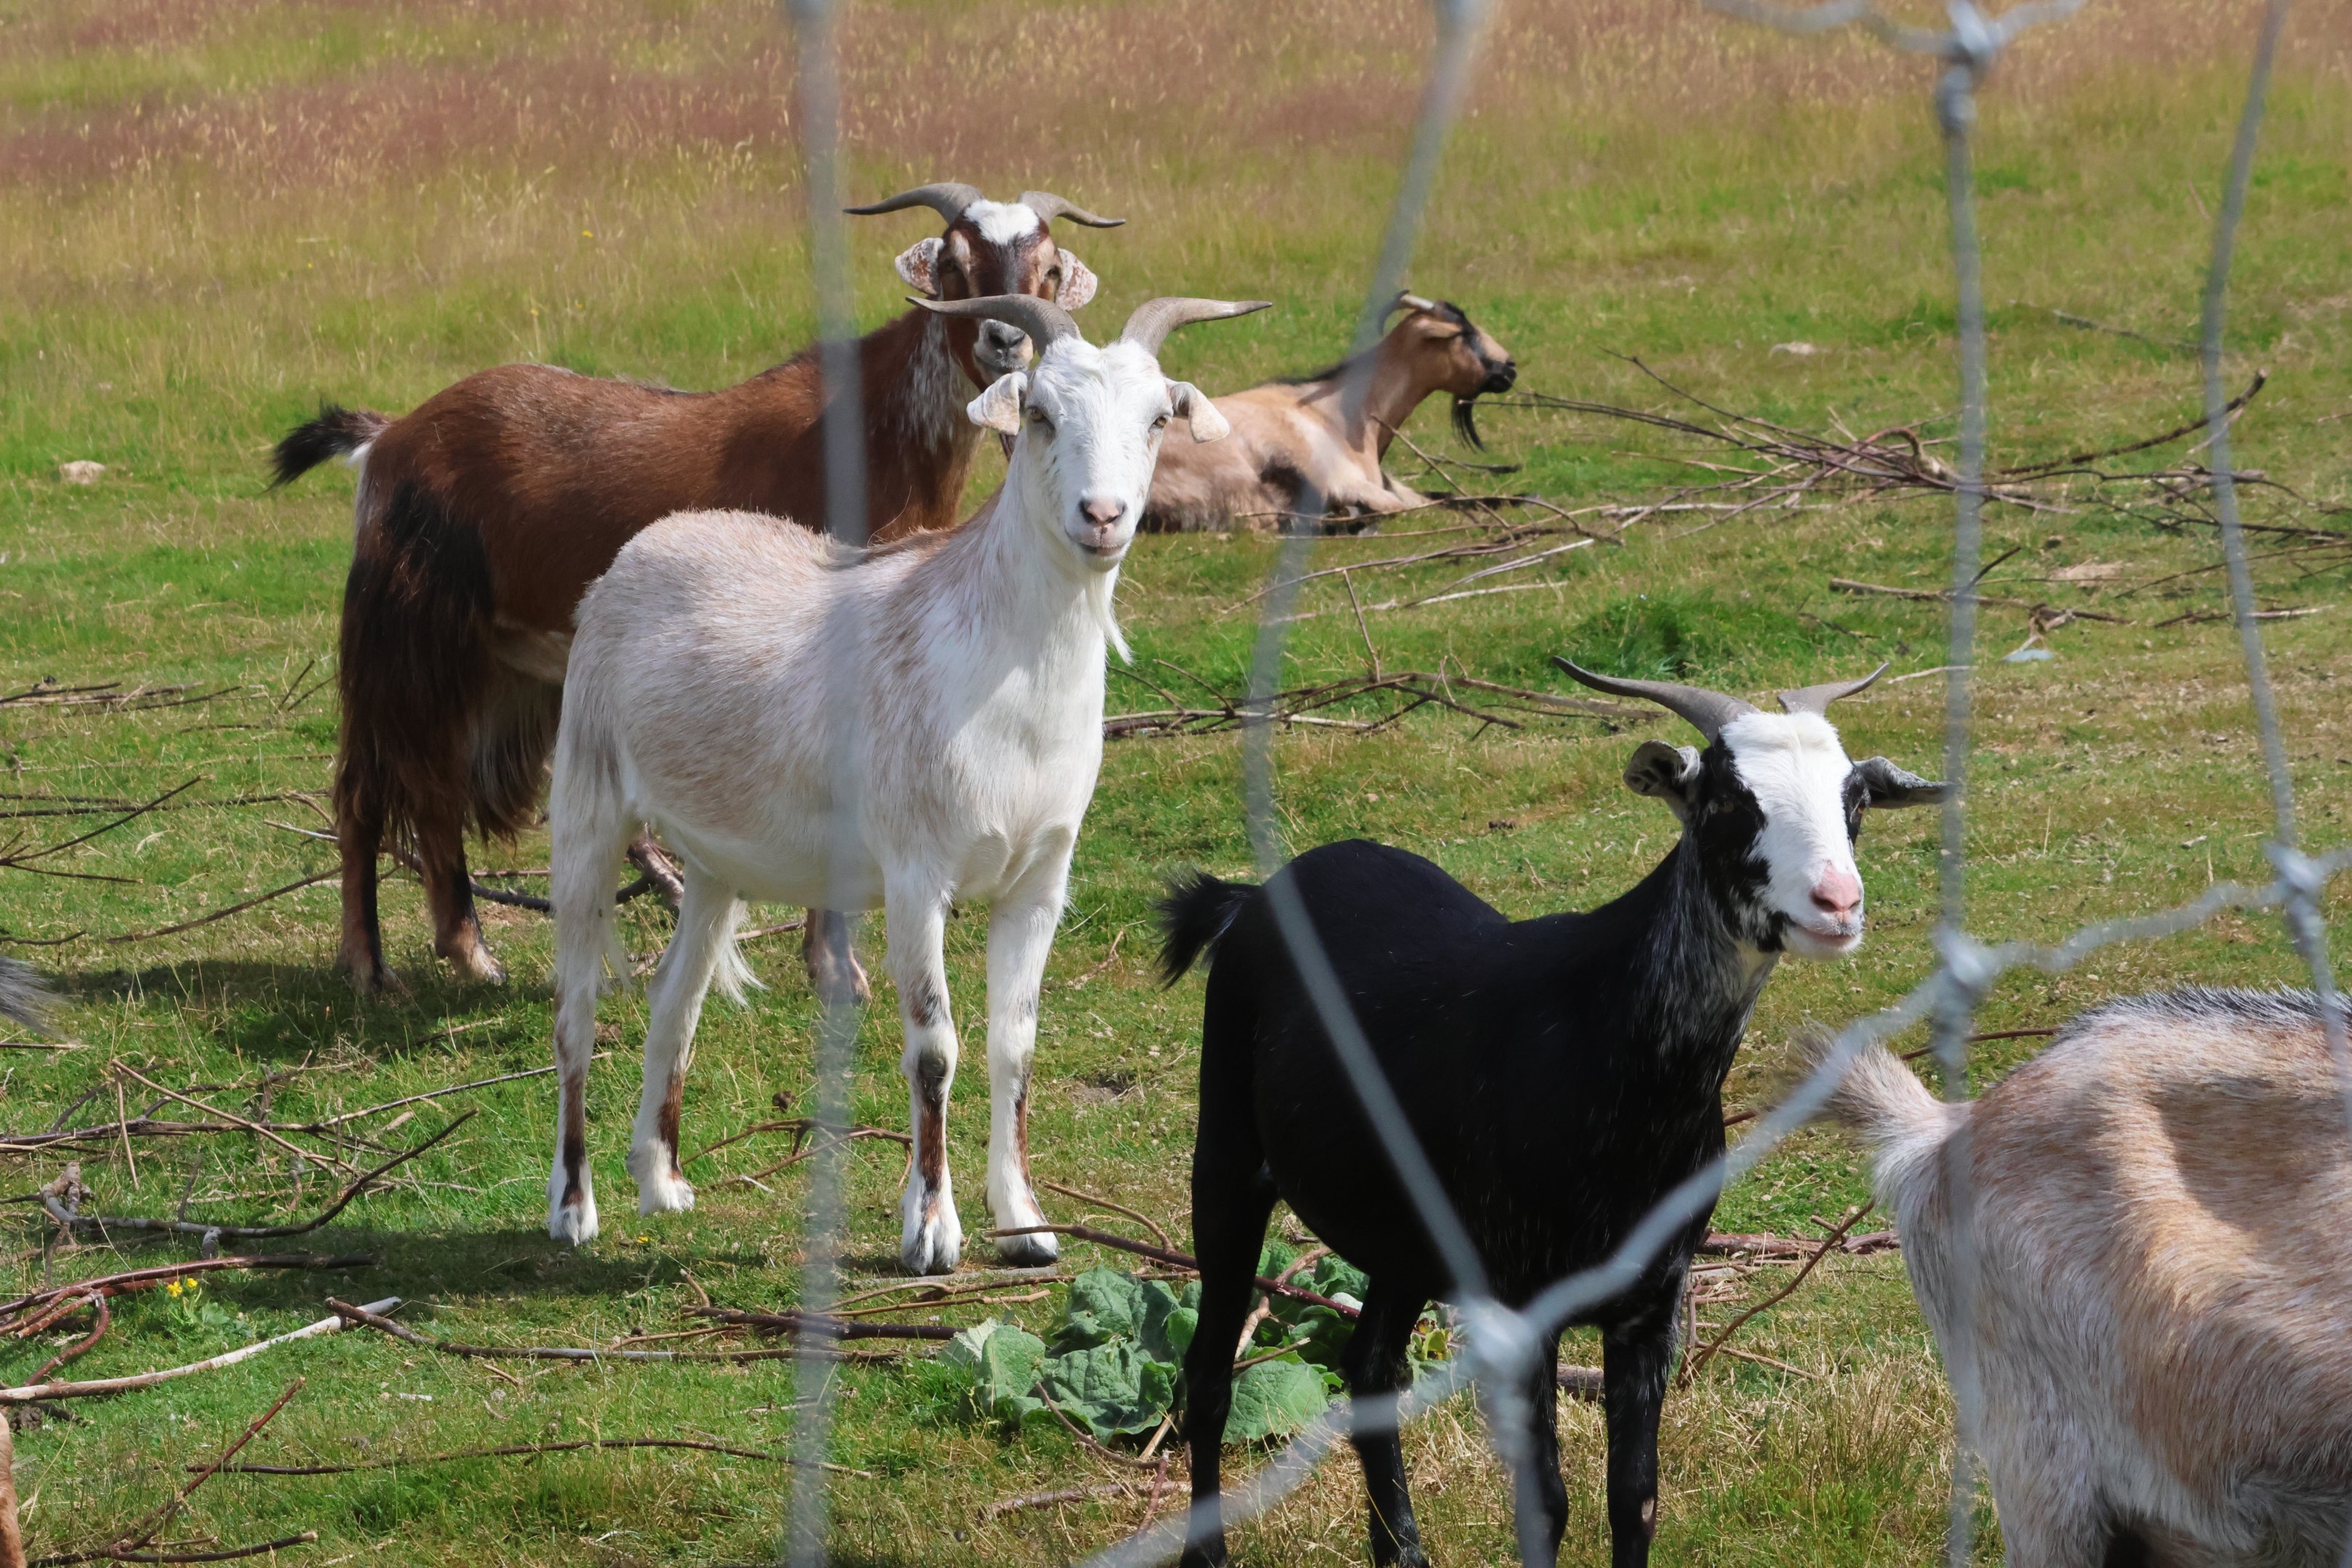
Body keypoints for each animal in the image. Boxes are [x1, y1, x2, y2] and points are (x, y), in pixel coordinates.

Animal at [267, 182, 1121, 1003]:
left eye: (1048, 267)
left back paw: (470, 955)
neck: (871, 432)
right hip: (405, 637)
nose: (1005, 341)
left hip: (491, 662)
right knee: (363, 790)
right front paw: (834, 969)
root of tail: (390, 439)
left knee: (437, 790)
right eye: (950, 263)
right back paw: (371, 967)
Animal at [542, 291, 1269, 1271]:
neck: (1002, 679)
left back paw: (660, 1182)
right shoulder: (918, 872)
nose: (1103, 514)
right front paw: (930, 1230)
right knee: (575, 1012)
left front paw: (1026, 1221)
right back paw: (573, 1207)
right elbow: (935, 1048)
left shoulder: (1040, 879)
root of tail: (643, 547)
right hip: (587, 803)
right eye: (1041, 413)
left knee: (676, 999)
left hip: (718, 861)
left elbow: (1015, 1046)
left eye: (1158, 419)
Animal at [1143, 293, 1515, 533]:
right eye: (1464, 334)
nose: (1510, 367)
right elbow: (1414, 507)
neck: (1344, 413)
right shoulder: (1347, 482)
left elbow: (1452, 496)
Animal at [1160, 661, 1943, 1568]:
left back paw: (1401, 1552)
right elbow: (1547, 1503)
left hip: (1405, 1234)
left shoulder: (1651, 1300)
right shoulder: (1519, 1303)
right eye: (1725, 801)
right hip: (1227, 1158)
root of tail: (1251, 898)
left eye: (1855, 799)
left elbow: (1634, 1496)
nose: (1836, 902)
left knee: (1369, 1367)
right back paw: (1209, 1551)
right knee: (1209, 1374)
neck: (1601, 1038)